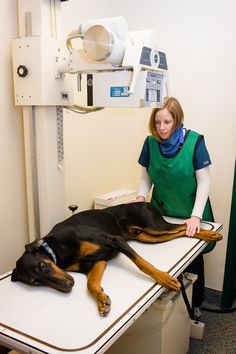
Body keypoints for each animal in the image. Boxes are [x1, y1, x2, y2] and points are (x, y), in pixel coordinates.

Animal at [10, 202, 221, 316]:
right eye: (36, 282)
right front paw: (102, 300)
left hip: (155, 227)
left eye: (43, 266)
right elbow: (91, 285)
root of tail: (145, 202)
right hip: (149, 237)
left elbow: (143, 264)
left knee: (183, 227)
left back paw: (210, 234)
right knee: (181, 232)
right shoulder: (96, 262)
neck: (58, 250)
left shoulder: (114, 240)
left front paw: (164, 278)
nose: (68, 286)